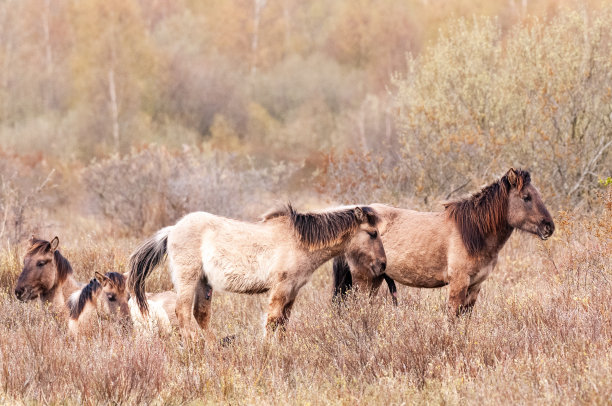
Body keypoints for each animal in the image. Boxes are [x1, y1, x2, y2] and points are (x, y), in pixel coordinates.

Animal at [128, 203, 388, 340]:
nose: (383, 265)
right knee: (182, 312)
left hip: (203, 282)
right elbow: (272, 321)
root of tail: (172, 230)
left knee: (200, 315)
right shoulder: (281, 288)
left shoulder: (292, 291)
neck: (299, 241)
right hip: (187, 279)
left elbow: (283, 322)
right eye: (373, 233)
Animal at [332, 168, 556, 318]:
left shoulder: (475, 286)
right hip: (363, 280)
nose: (549, 227)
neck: (473, 233)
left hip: (376, 279)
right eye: (526, 197)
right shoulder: (458, 284)